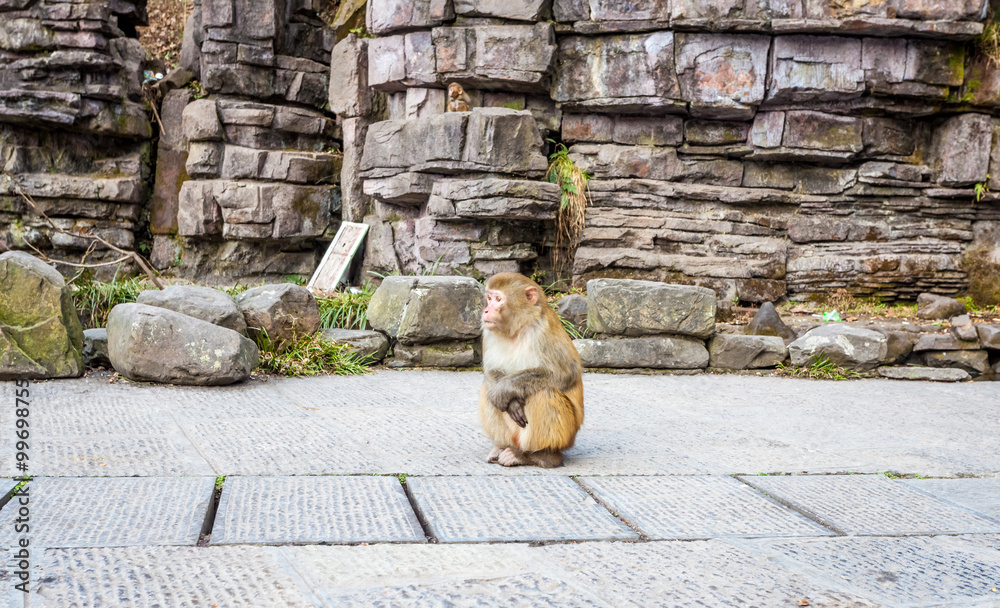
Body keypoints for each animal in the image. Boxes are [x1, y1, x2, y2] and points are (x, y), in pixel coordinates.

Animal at [479, 273, 584, 468]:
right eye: (489, 298)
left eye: (499, 299)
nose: (486, 311)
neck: (517, 328)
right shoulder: (488, 332)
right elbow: (491, 371)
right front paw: (510, 401)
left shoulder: (544, 330)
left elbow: (566, 372)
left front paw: (505, 389)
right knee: (487, 389)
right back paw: (503, 446)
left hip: (567, 436)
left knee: (545, 392)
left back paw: (539, 456)